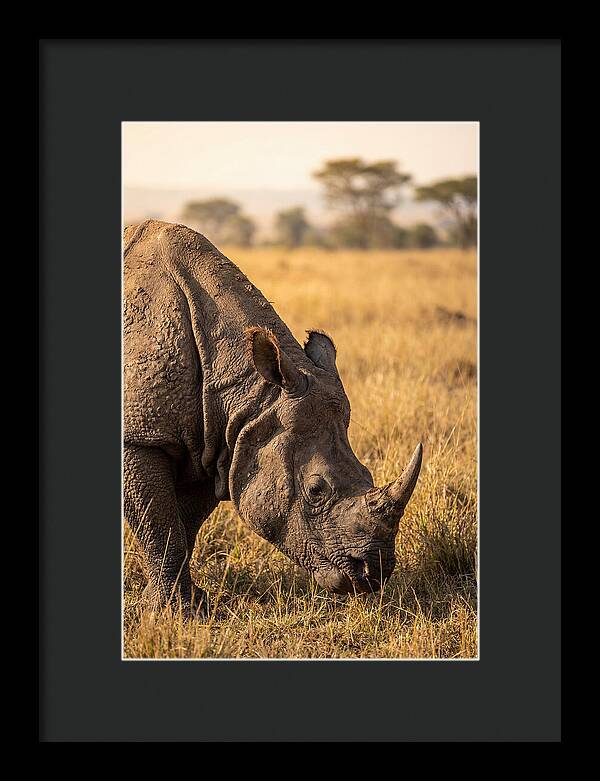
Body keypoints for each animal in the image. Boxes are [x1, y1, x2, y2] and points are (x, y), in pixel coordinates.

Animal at [124, 219, 422, 616]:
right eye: (315, 490)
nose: (373, 574)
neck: (249, 394)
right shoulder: (140, 437)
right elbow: (160, 526)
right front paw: (175, 613)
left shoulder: (215, 442)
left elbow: (182, 525)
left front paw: (180, 605)